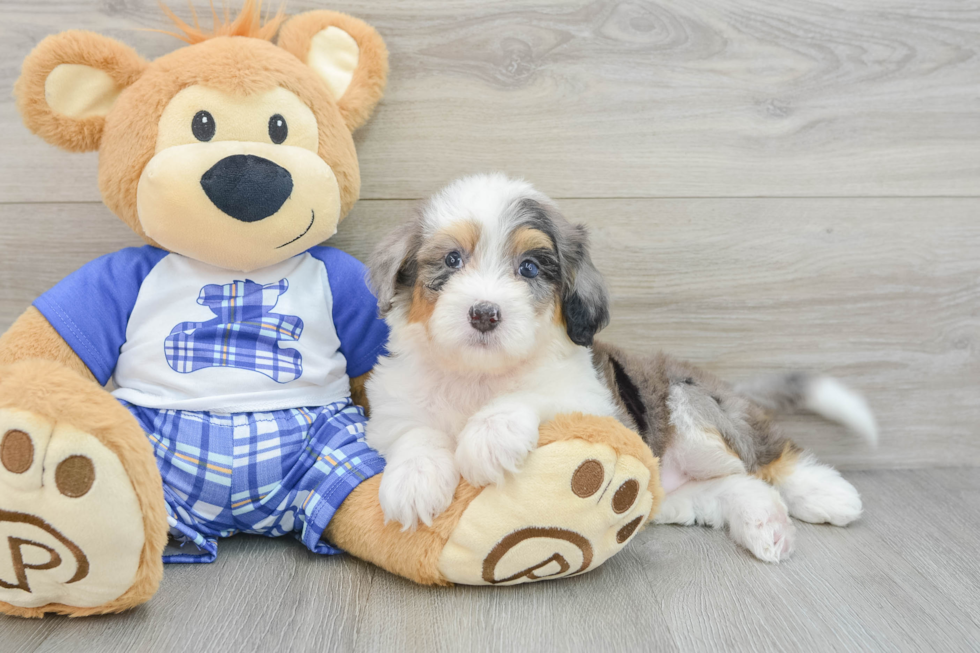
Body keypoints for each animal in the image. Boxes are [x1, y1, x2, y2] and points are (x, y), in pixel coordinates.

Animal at [366, 172, 872, 560]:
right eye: (452, 259)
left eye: (529, 268)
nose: (485, 314)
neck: (479, 376)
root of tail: (731, 391)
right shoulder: (391, 408)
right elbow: (414, 432)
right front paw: (413, 481)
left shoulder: (593, 403)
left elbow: (536, 395)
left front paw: (489, 435)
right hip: (677, 484)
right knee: (740, 485)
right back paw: (767, 525)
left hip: (691, 406)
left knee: (763, 460)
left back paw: (826, 493)